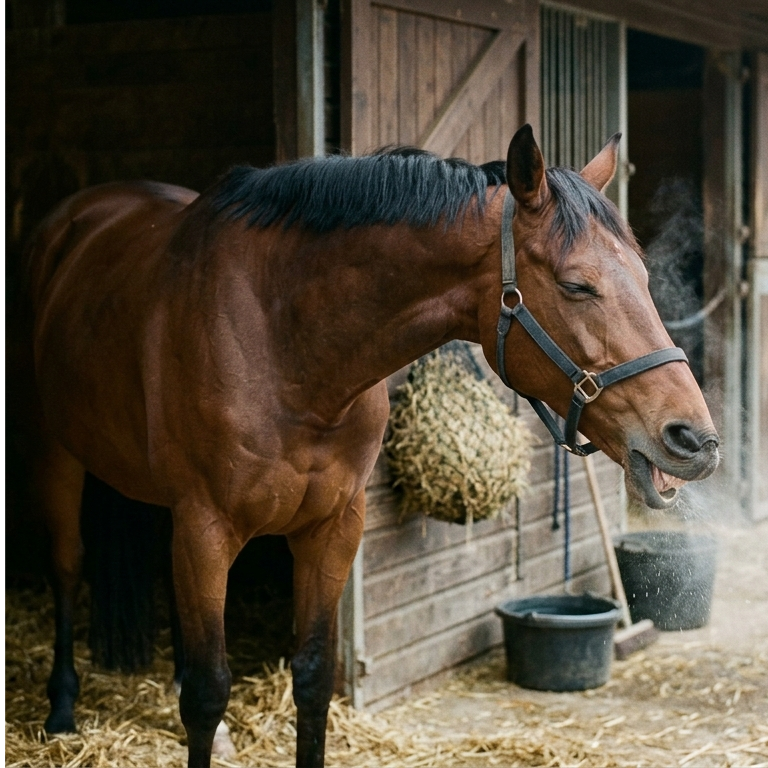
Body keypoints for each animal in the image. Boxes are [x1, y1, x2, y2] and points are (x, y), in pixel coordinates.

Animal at [15, 124, 720, 768]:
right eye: (576, 285)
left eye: (644, 276)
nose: (694, 439)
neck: (284, 340)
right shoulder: (205, 528)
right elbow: (209, 695)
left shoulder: (334, 527)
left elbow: (312, 680)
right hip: (55, 454)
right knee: (68, 567)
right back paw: (61, 706)